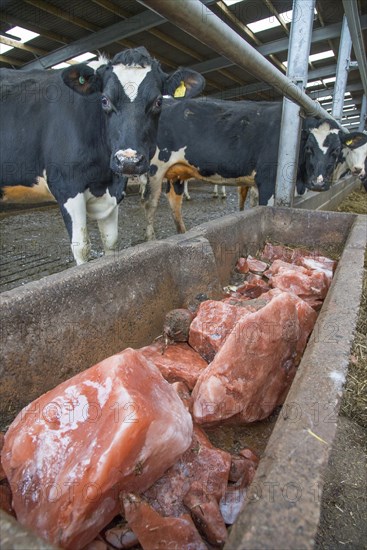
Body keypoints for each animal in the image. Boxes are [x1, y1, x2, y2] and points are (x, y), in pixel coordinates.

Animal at [0, 45, 204, 266]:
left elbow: (111, 242)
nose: (128, 161)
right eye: (104, 100)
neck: (102, 176)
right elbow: (81, 247)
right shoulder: (66, 186)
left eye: (158, 102)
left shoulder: (113, 190)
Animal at [142, 98, 344, 239]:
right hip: (154, 169)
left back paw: (182, 233)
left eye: (336, 151)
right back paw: (151, 239)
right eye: (309, 148)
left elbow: (251, 205)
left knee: (174, 202)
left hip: (176, 173)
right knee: (149, 204)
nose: (318, 183)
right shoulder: (268, 181)